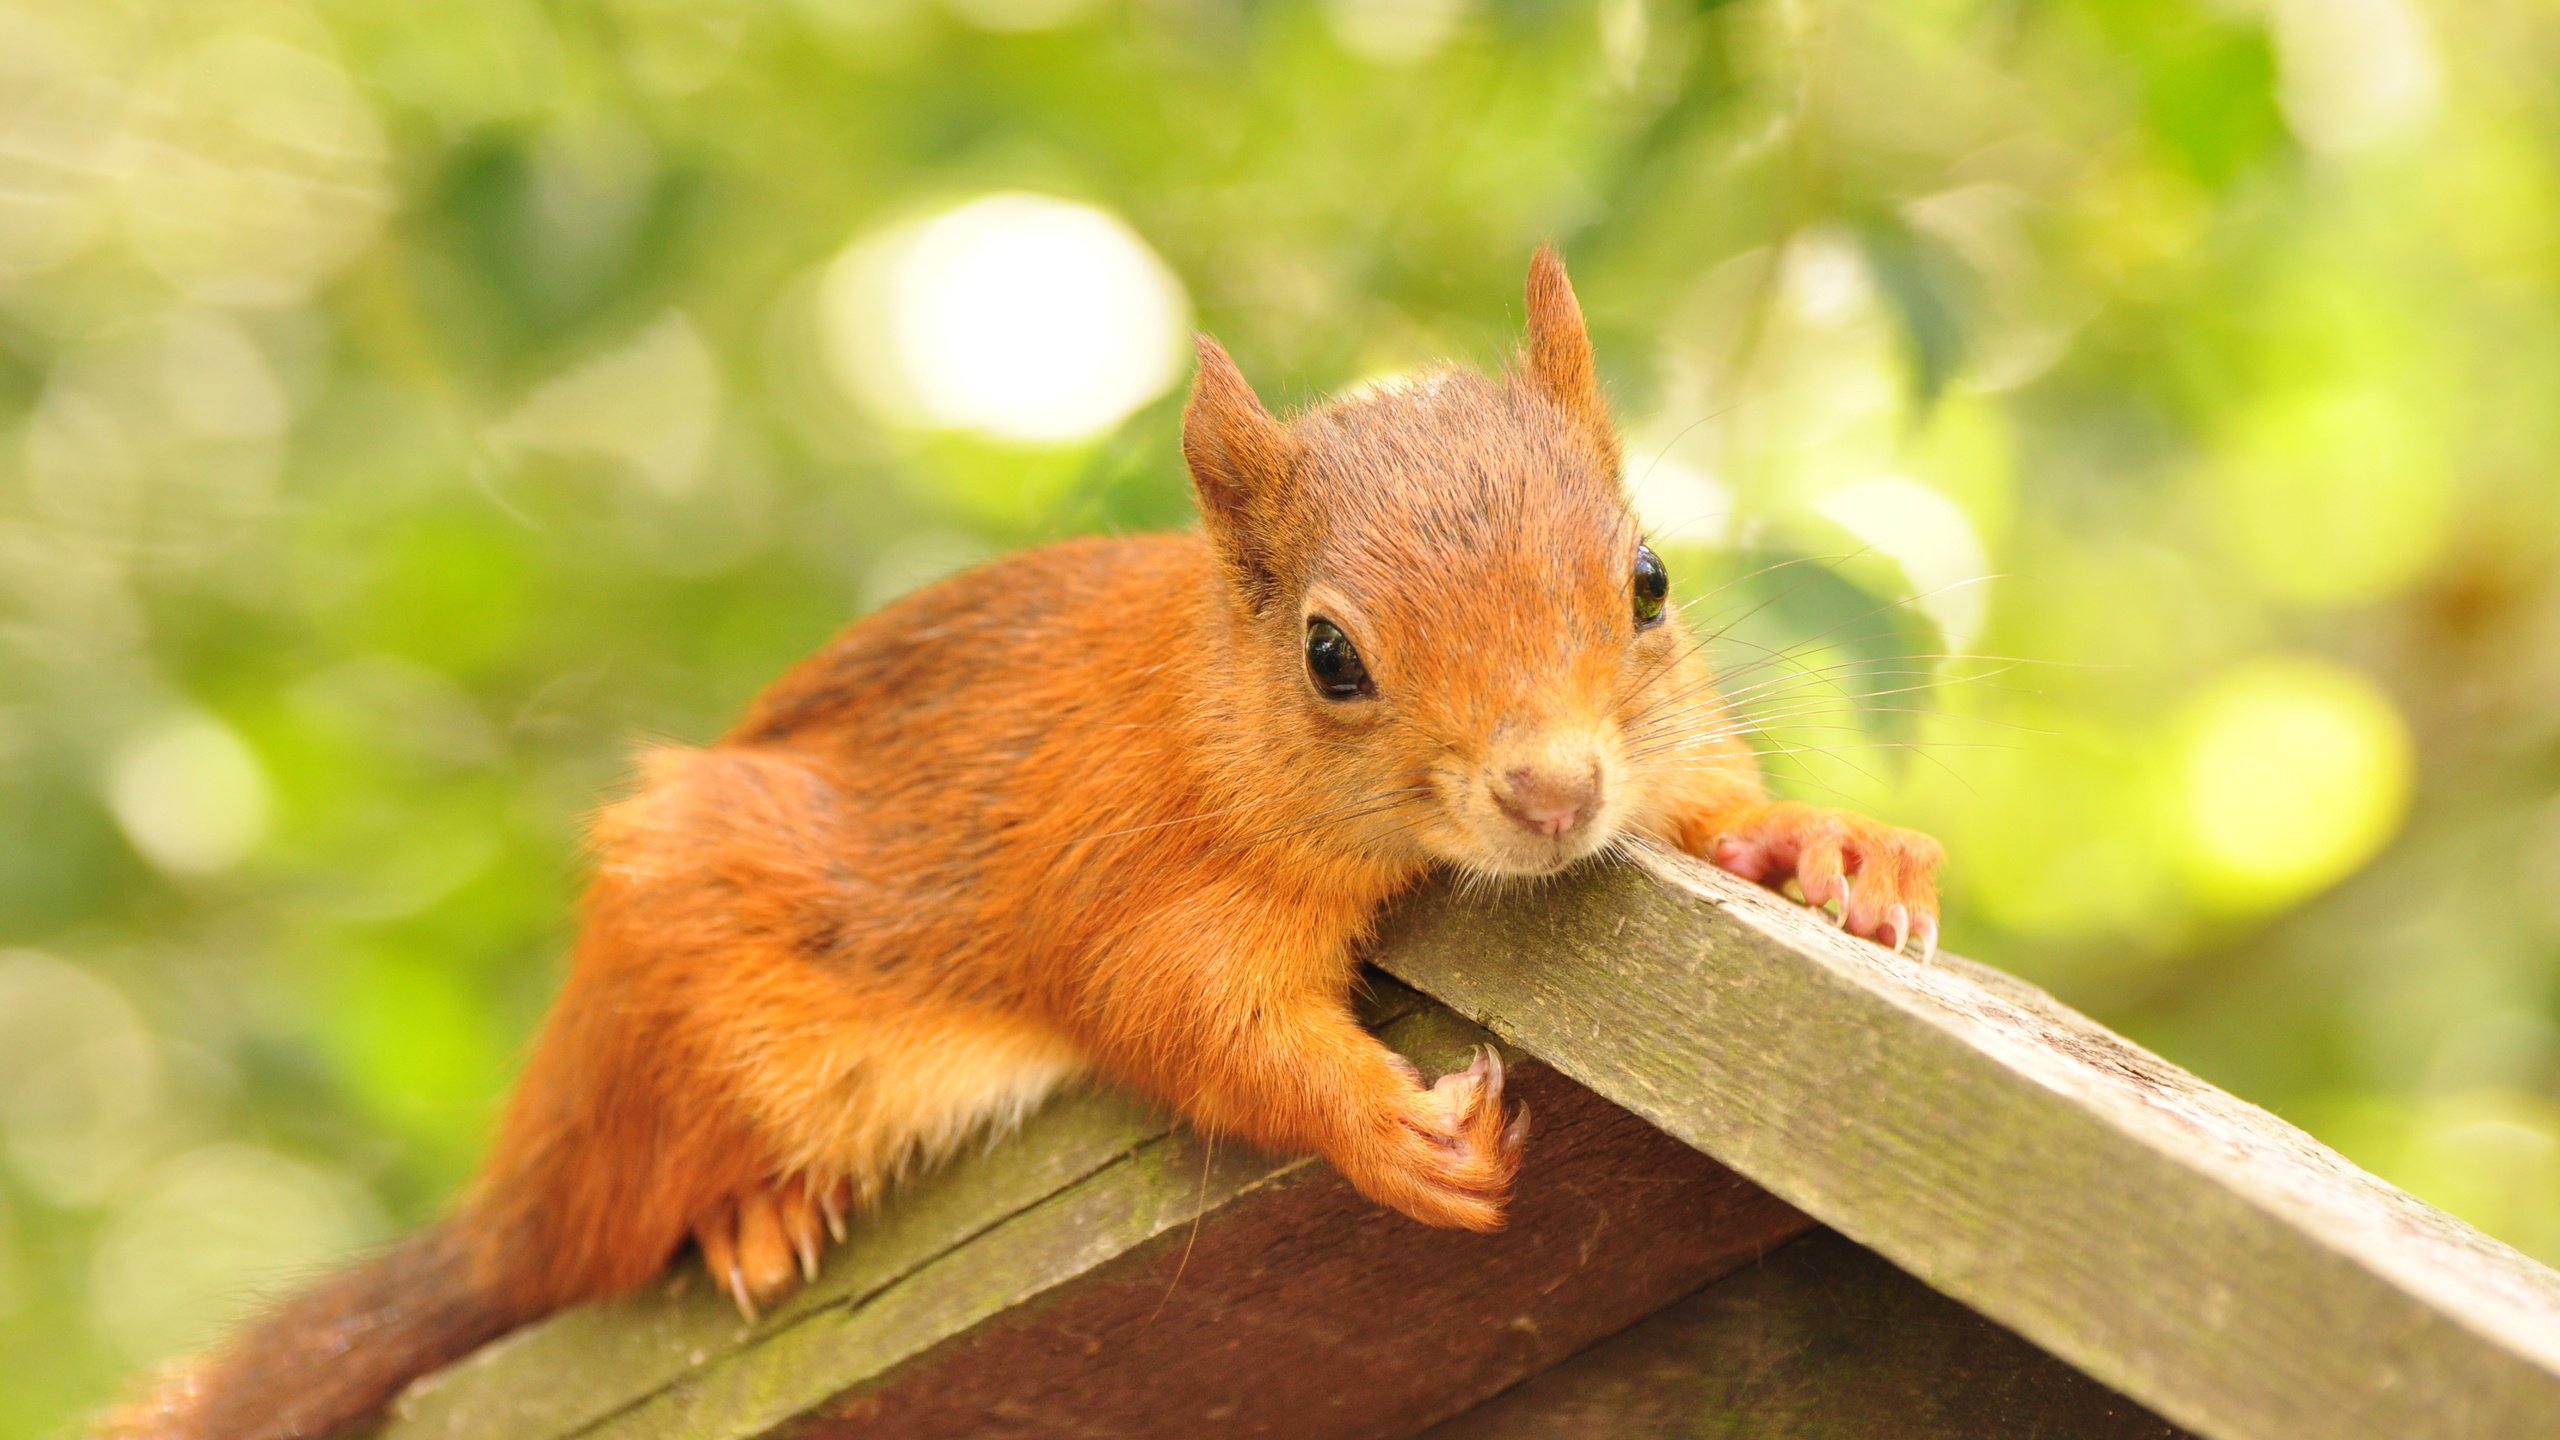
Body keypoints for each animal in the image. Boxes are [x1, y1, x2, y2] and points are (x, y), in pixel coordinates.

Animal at [104, 249, 1935, 1434]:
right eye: (1332, 657)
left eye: (1650, 581)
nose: (1552, 795)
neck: (1209, 711)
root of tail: (519, 1188)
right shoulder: (1139, 879)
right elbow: (1189, 1020)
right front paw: (1384, 1129)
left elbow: (1709, 807)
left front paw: (1835, 849)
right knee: (603, 1242)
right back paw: (749, 1216)